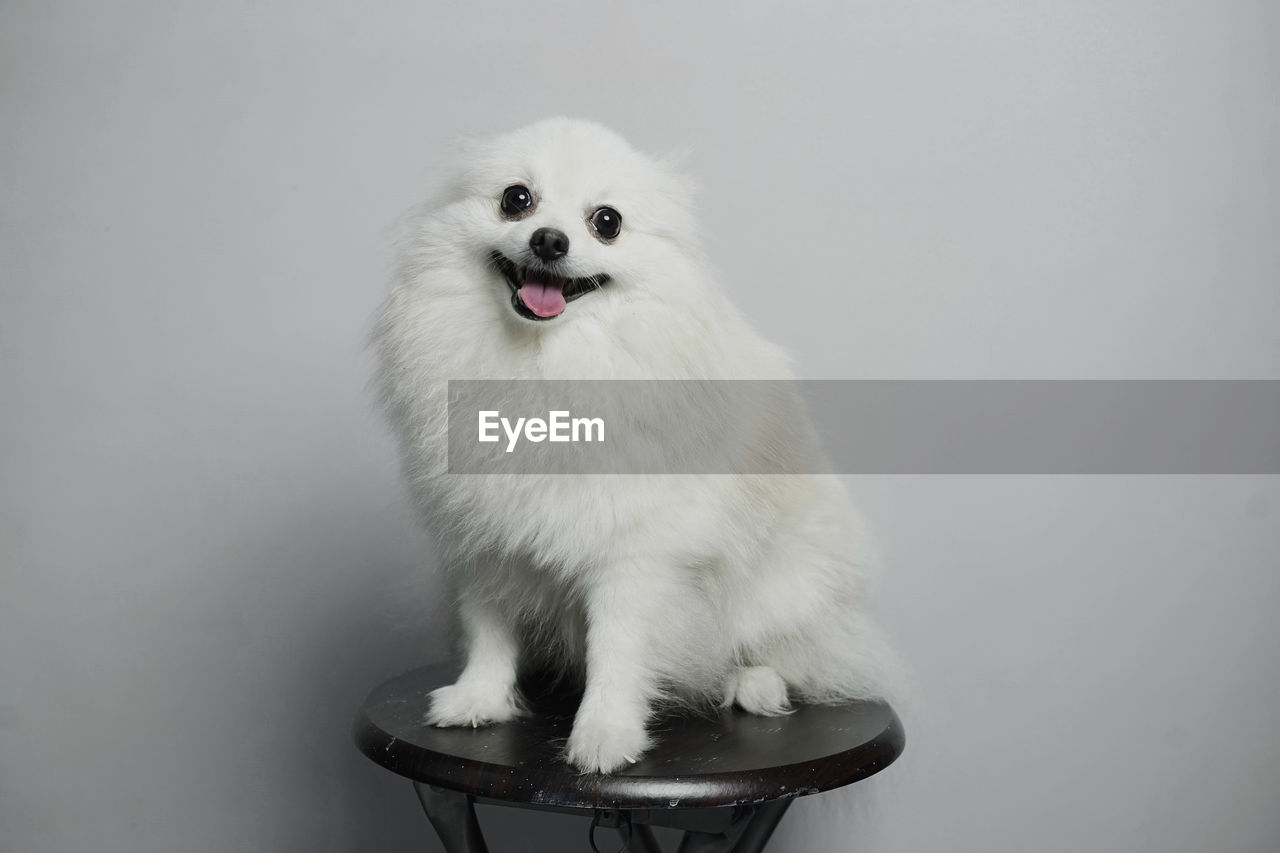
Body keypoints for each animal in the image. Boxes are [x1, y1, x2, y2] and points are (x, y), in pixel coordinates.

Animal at [373, 116, 901, 773]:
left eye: (607, 221)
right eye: (515, 199)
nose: (549, 240)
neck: (544, 364)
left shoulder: (634, 555)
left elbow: (617, 651)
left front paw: (604, 734)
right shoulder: (485, 541)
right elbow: (489, 629)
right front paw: (479, 699)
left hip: (786, 590)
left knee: (796, 654)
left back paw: (754, 684)